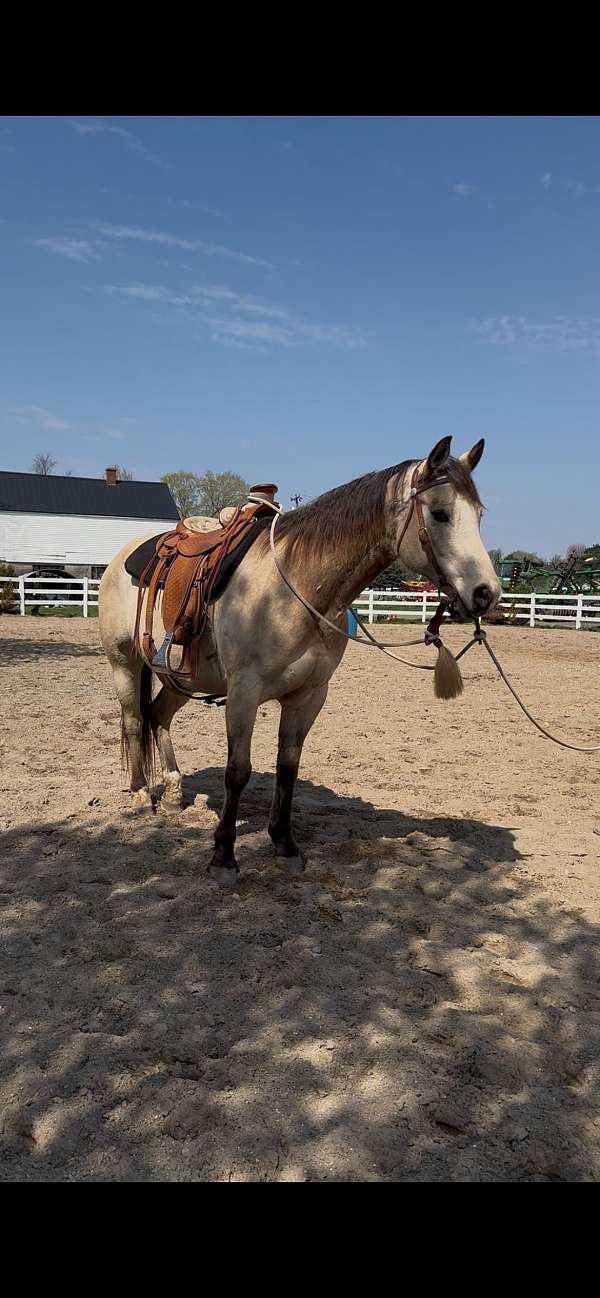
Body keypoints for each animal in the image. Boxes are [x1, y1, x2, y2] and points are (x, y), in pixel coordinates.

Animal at [98, 436, 500, 884]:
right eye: (440, 513)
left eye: (478, 514)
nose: (487, 593)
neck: (296, 586)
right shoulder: (244, 692)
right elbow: (237, 771)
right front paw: (223, 856)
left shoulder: (308, 695)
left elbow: (288, 766)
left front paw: (284, 844)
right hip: (125, 663)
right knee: (134, 720)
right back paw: (140, 795)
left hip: (182, 677)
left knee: (159, 717)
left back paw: (170, 792)